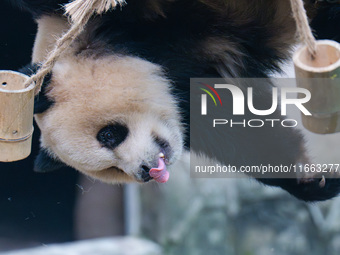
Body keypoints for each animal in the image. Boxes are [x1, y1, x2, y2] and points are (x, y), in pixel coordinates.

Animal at [7, 0, 340, 201]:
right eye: (113, 170)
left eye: (109, 135)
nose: (145, 171)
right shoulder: (194, 93)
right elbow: (245, 134)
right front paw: (312, 181)